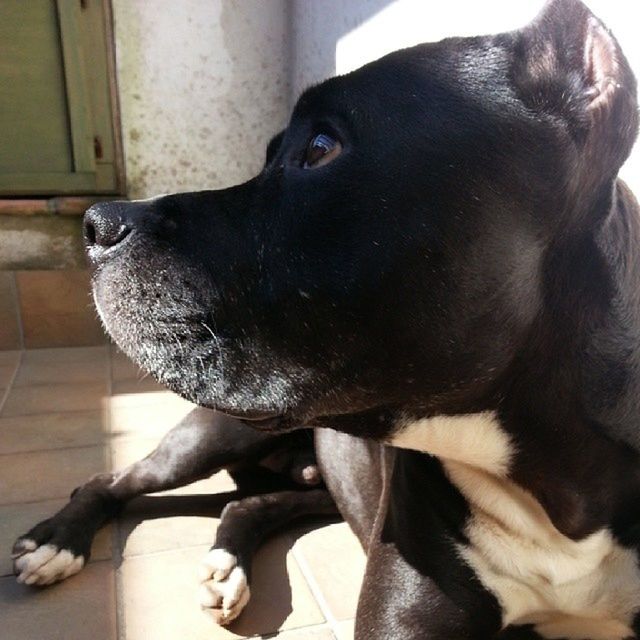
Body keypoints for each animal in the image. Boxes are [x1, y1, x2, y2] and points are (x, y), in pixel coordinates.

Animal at [12, 1, 640, 636]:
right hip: (212, 436)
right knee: (112, 479)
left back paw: (225, 567)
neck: (556, 494)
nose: (96, 224)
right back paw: (56, 541)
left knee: (246, 501)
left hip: (315, 486)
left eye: (319, 146)